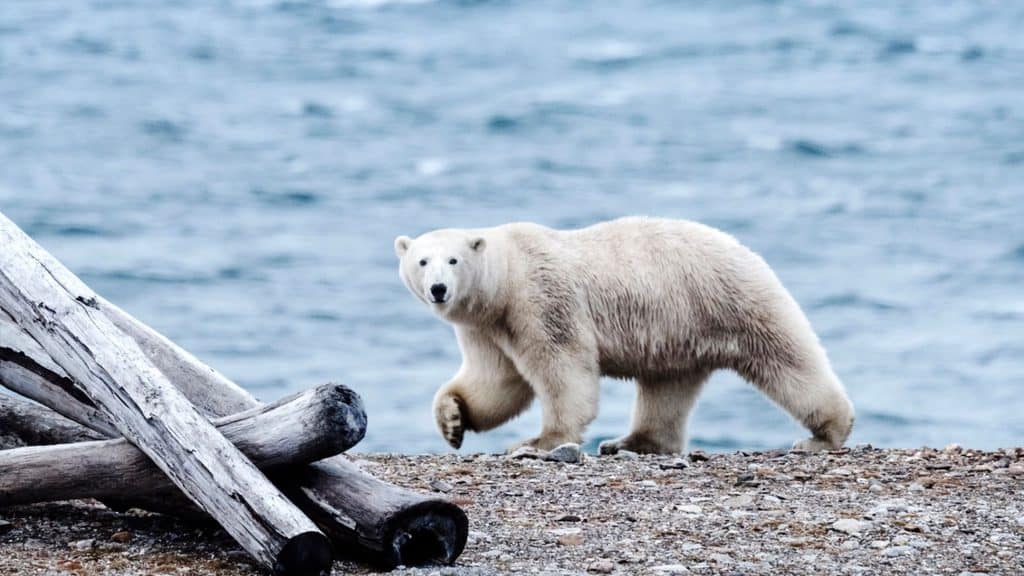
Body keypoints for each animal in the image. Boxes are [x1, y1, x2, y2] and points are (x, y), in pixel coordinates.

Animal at [394, 217, 854, 455]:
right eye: (422, 261)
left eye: (453, 260)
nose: (439, 289)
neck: (507, 275)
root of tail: (744, 249)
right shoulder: (488, 326)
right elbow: (497, 382)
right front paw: (452, 420)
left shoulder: (542, 298)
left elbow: (563, 368)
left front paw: (542, 440)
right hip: (681, 331)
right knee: (667, 388)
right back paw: (632, 442)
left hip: (727, 299)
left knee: (786, 358)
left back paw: (826, 433)